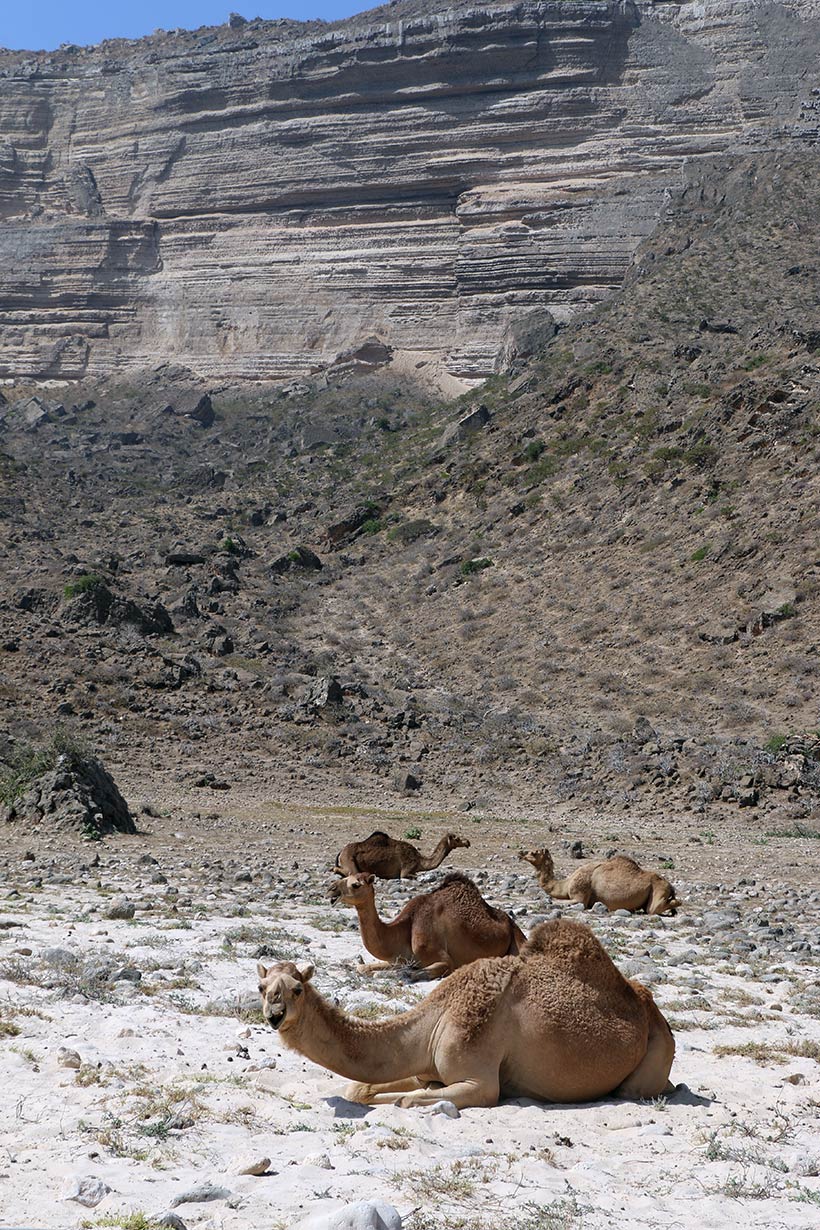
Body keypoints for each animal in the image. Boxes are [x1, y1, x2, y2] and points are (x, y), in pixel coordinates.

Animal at [259, 920, 678, 1111]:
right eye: (262, 988)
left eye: (296, 989)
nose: (275, 1015)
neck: (440, 1013)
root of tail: (650, 1007)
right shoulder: (422, 1064)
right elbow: (360, 1088)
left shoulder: (479, 1079)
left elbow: (407, 1100)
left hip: (656, 1054)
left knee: (633, 1090)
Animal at [327, 875, 526, 979]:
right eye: (344, 877)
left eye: (355, 884)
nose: (330, 889)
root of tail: (511, 922)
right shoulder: (398, 958)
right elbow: (363, 968)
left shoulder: (444, 960)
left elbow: (410, 973)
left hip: (518, 940)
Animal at [334, 831, 472, 880]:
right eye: (457, 838)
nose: (468, 842)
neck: (419, 860)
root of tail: (341, 851)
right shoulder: (406, 870)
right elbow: (412, 875)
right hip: (349, 861)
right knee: (345, 871)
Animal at [518, 846, 678, 915]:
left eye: (534, 852)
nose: (520, 853)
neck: (566, 883)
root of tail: (670, 885)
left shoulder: (579, 895)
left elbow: (562, 901)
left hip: (657, 891)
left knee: (656, 908)